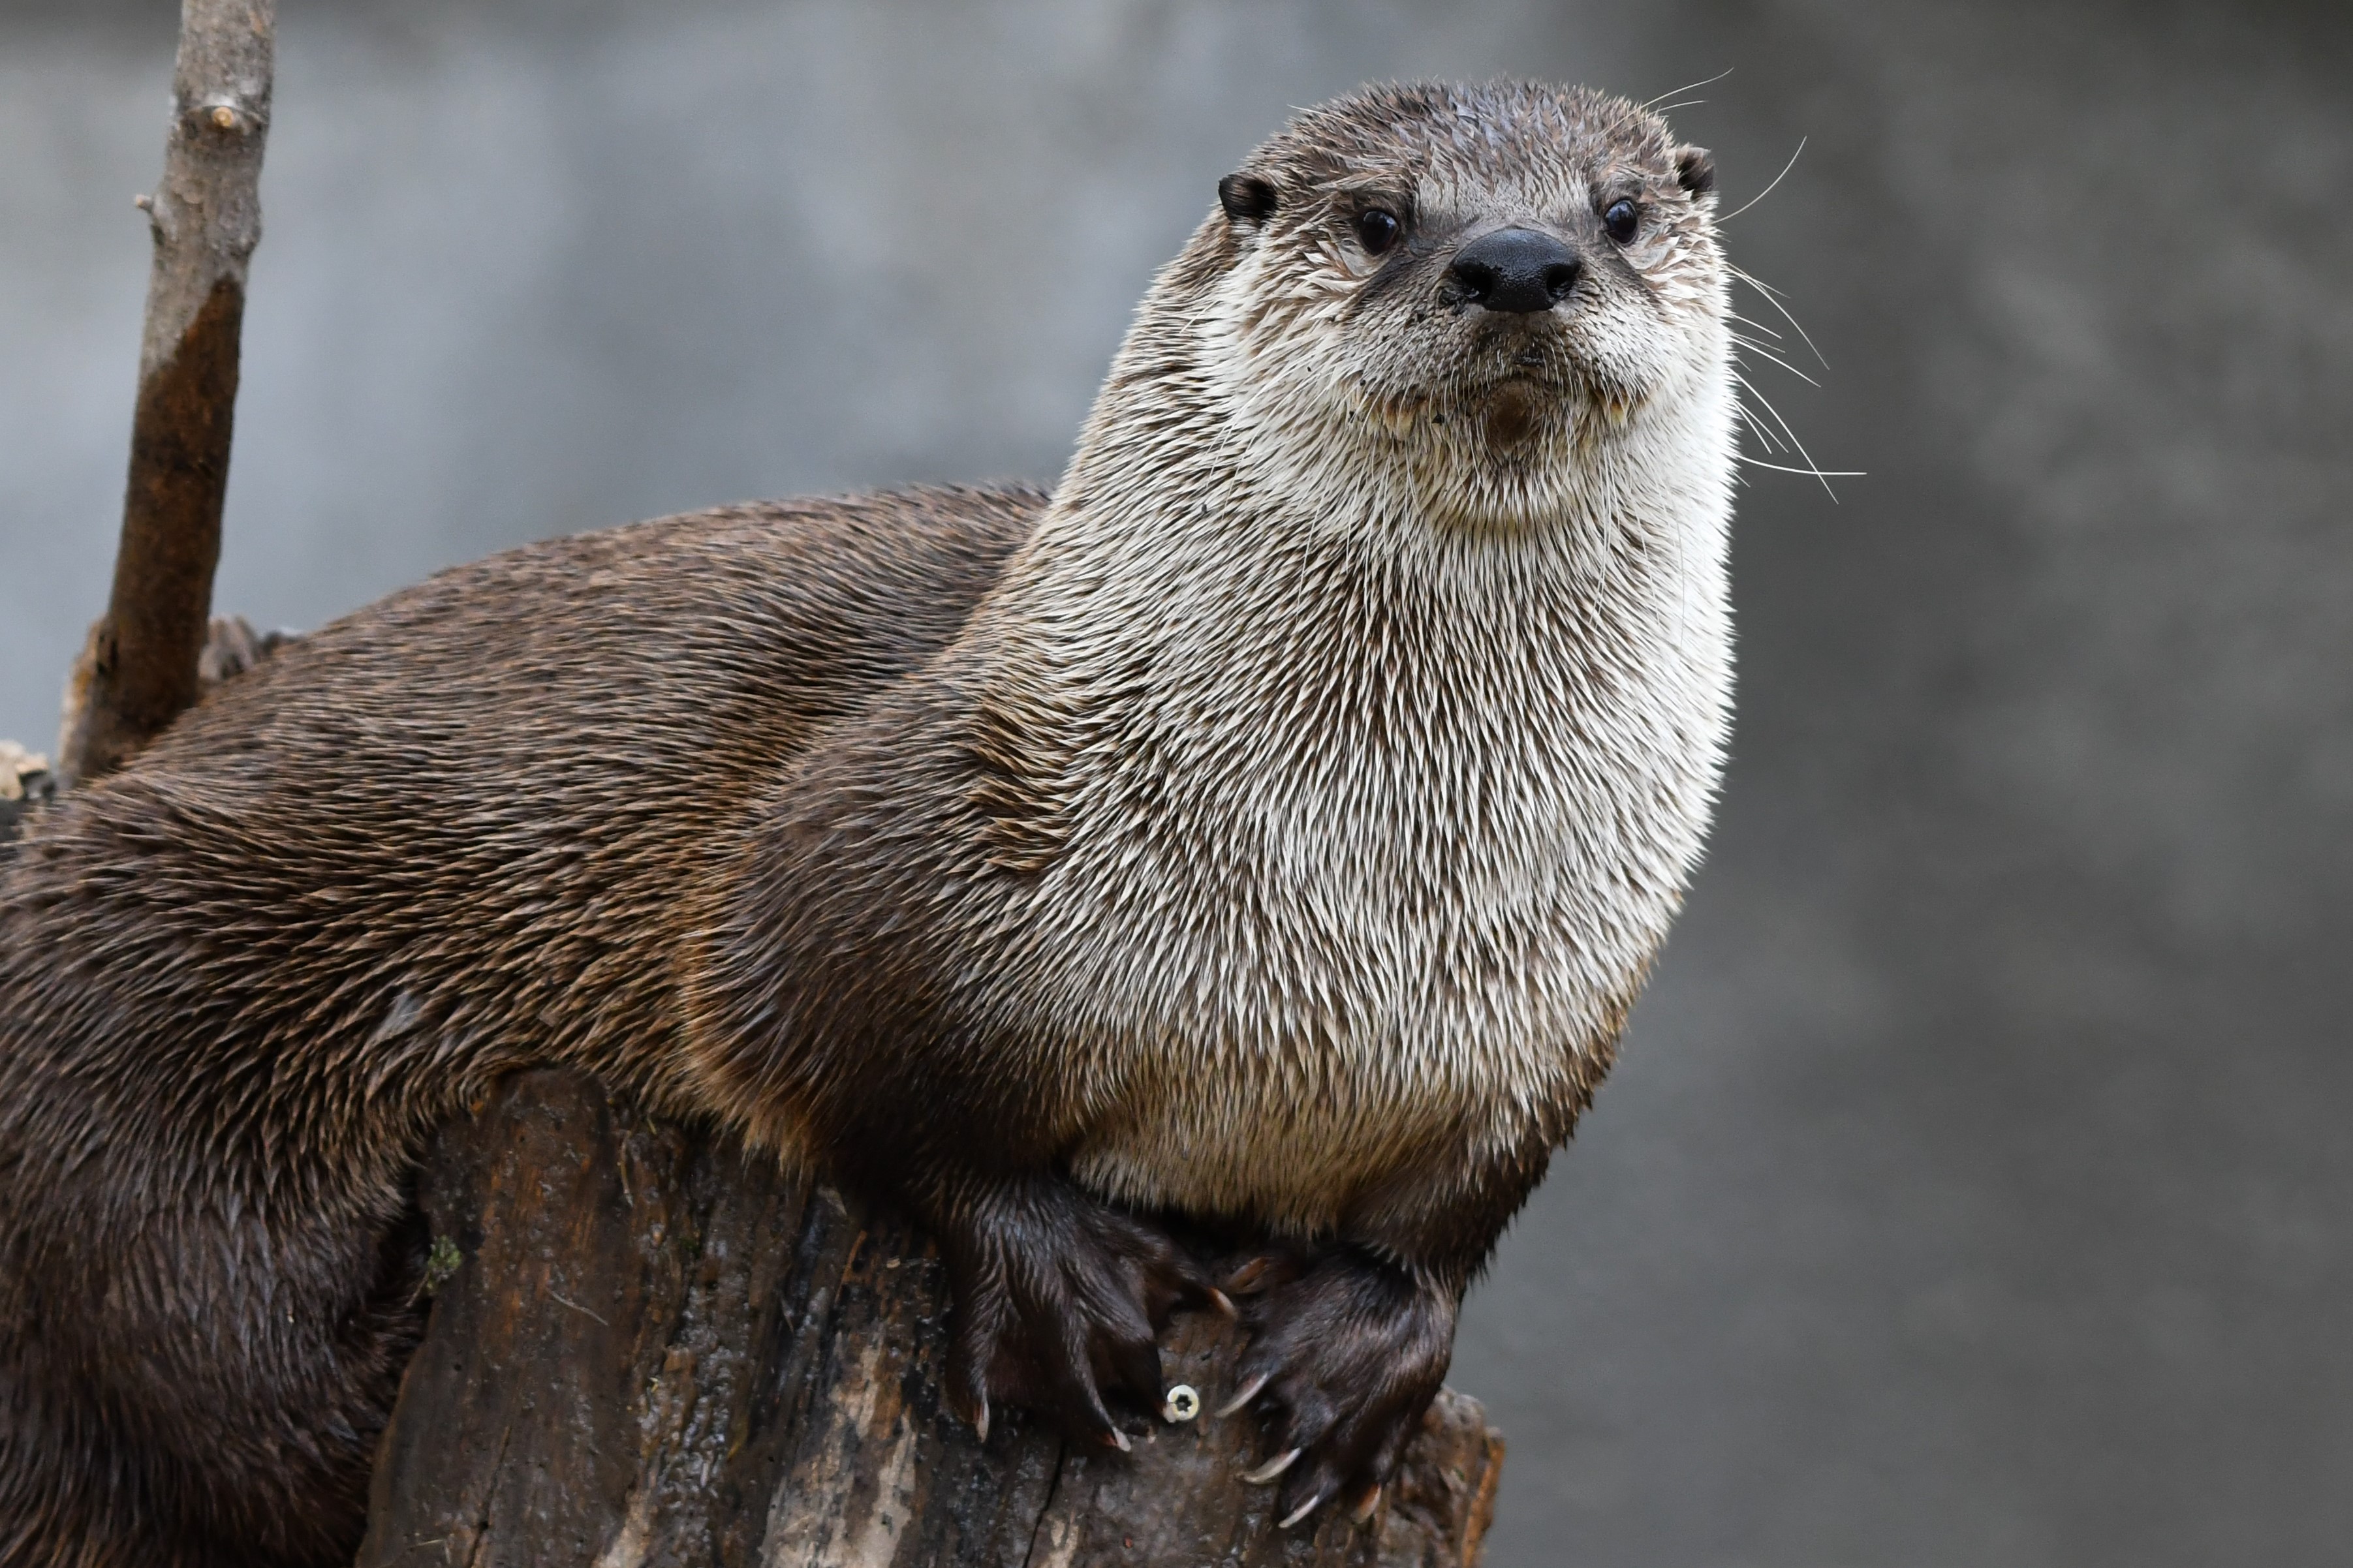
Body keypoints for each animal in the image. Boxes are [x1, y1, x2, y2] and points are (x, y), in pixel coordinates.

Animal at [0, 80, 1732, 1561]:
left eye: (1622, 208)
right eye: (1379, 218)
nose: (1517, 260)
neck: (1353, 894)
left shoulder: (1566, 997)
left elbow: (1455, 1209)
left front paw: (1362, 1343)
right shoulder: (890, 830)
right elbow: (818, 1038)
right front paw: (1053, 1277)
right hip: (135, 1006)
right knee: (215, 1365)